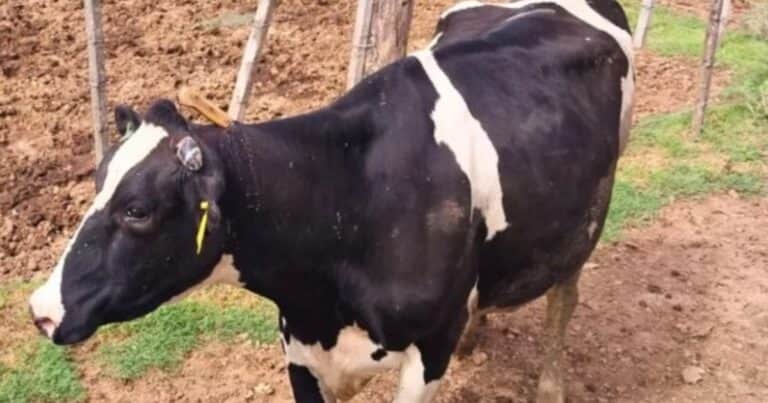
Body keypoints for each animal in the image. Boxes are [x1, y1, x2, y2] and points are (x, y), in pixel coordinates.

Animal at [29, 0, 634, 402]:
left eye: (137, 210)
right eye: (97, 182)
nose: (40, 310)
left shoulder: (427, 351)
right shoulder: (300, 344)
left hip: (588, 216)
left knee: (565, 296)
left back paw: (551, 385)